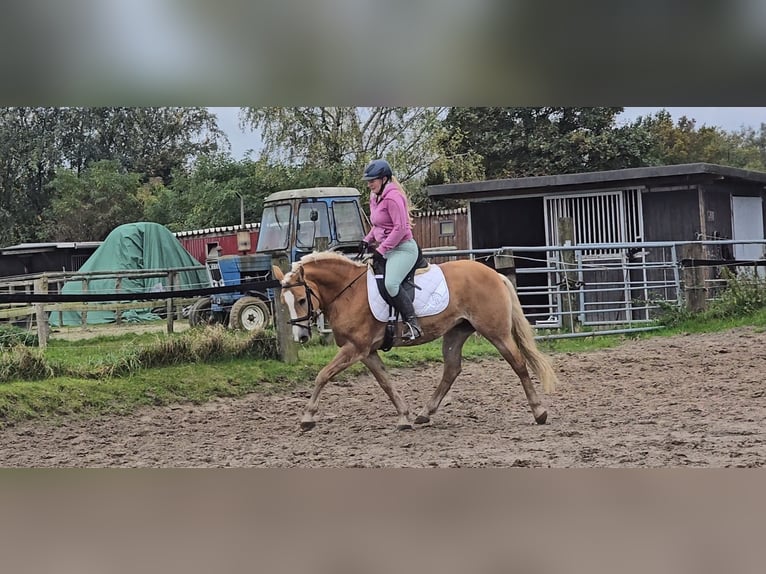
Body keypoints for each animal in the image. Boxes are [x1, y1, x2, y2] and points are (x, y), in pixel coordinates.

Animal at [274, 252, 560, 432]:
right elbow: (386, 382)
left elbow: (322, 375)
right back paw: (425, 413)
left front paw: (307, 418)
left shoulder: (354, 348)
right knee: (452, 369)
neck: (348, 292)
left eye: (302, 299)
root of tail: (495, 274)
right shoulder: (366, 352)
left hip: (496, 332)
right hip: (456, 332)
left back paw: (539, 412)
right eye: (283, 302)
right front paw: (404, 417)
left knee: (519, 364)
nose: (301, 337)